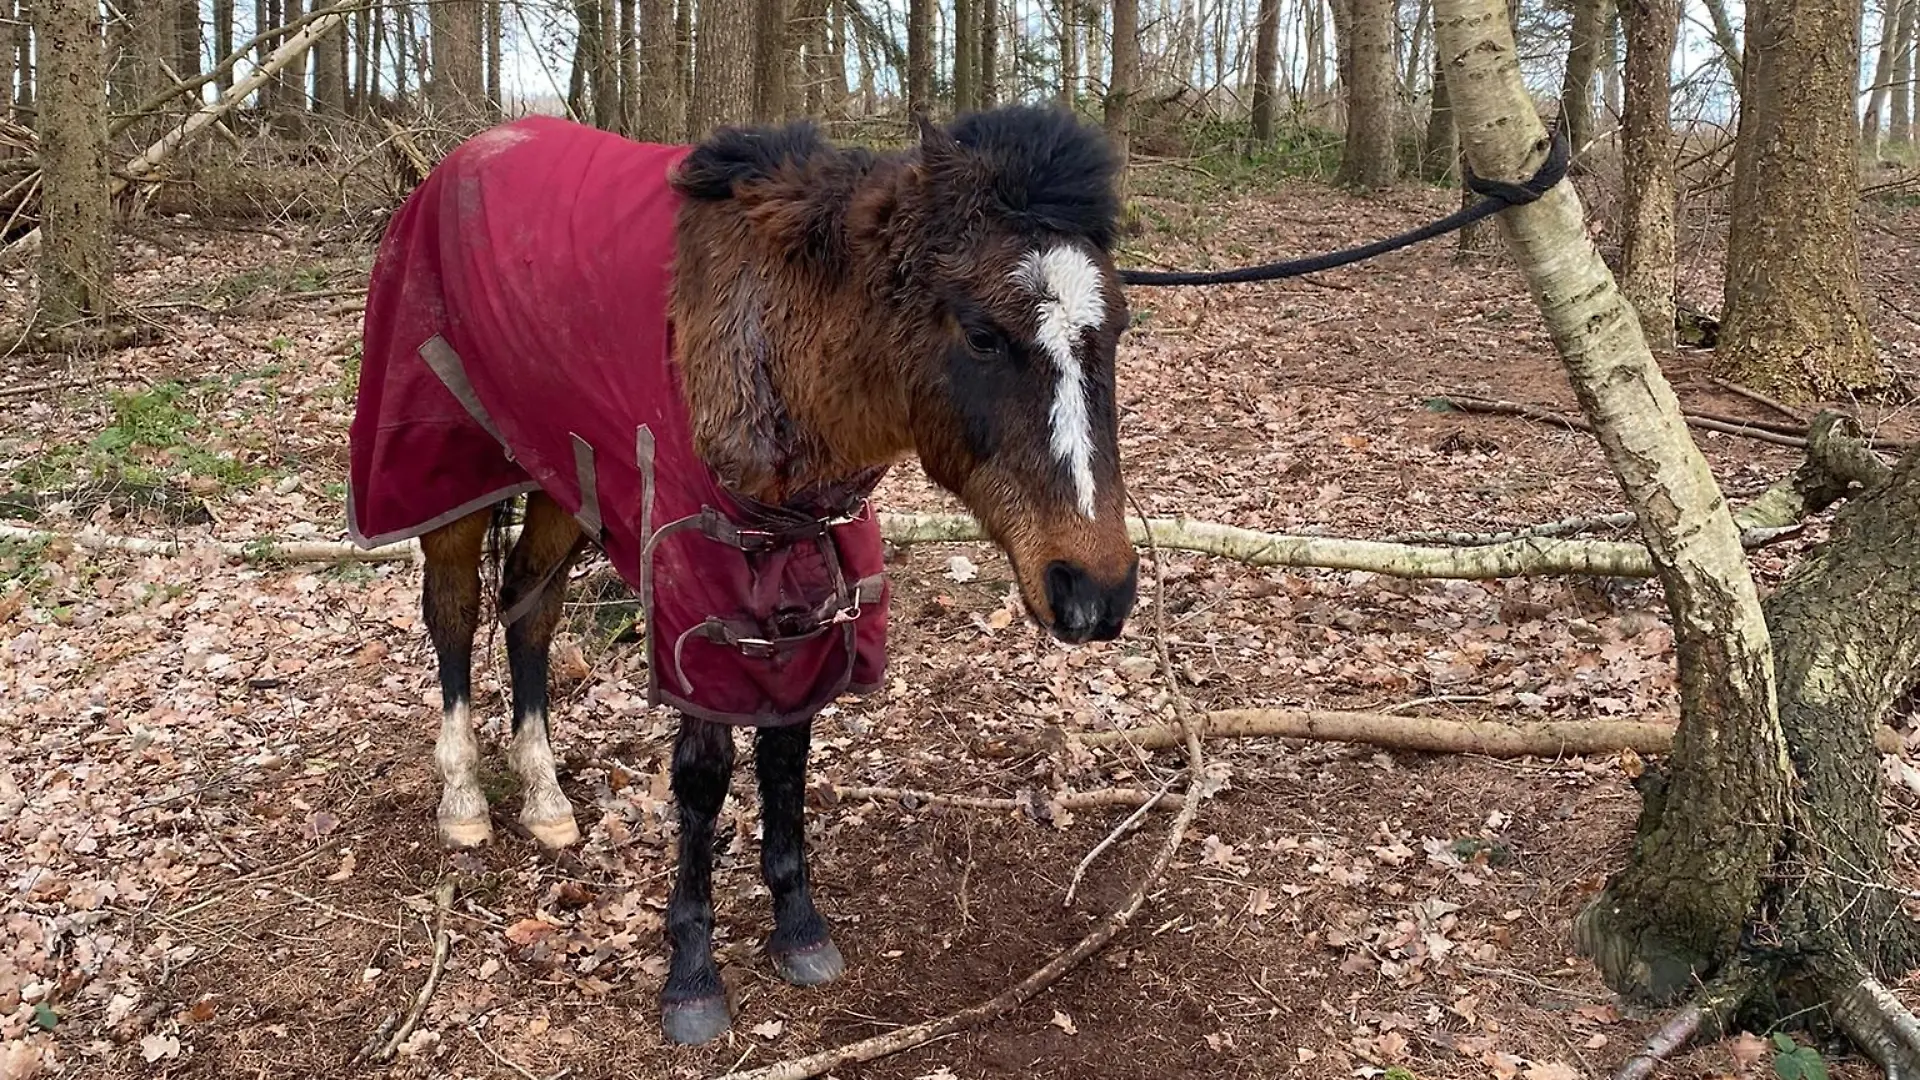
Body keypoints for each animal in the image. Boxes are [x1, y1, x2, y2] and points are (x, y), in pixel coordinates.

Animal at [346, 103, 1140, 1044]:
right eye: (983, 332)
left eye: (1117, 330)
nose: (1095, 591)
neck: (774, 346)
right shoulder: (699, 598)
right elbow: (704, 774)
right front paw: (691, 974)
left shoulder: (809, 594)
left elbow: (787, 751)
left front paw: (798, 927)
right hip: (452, 471)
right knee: (455, 611)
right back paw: (464, 797)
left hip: (562, 471)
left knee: (529, 610)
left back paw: (544, 797)